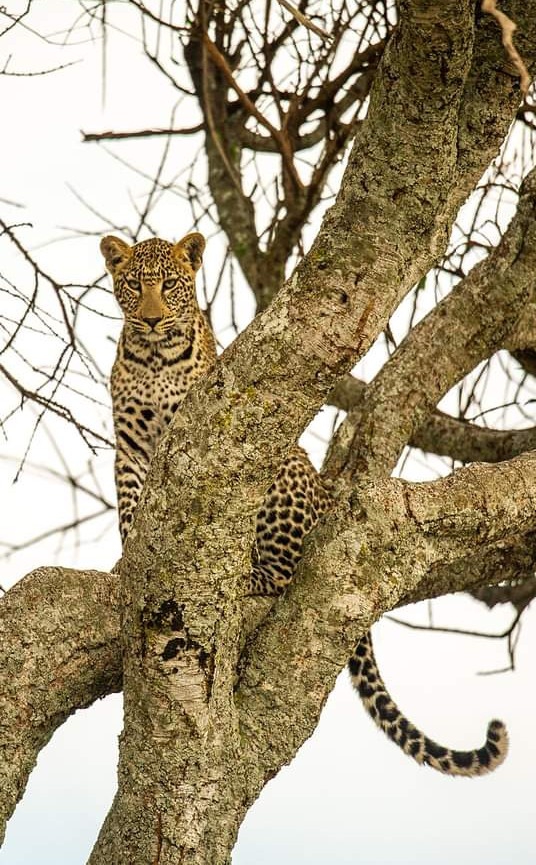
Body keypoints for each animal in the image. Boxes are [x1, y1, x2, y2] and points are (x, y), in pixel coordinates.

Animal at [102, 231, 508, 777]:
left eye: (169, 285)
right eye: (132, 285)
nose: (148, 318)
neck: (152, 357)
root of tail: (323, 500)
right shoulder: (129, 446)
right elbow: (131, 507)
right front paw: (126, 560)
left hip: (281, 472)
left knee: (283, 572)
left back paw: (249, 575)